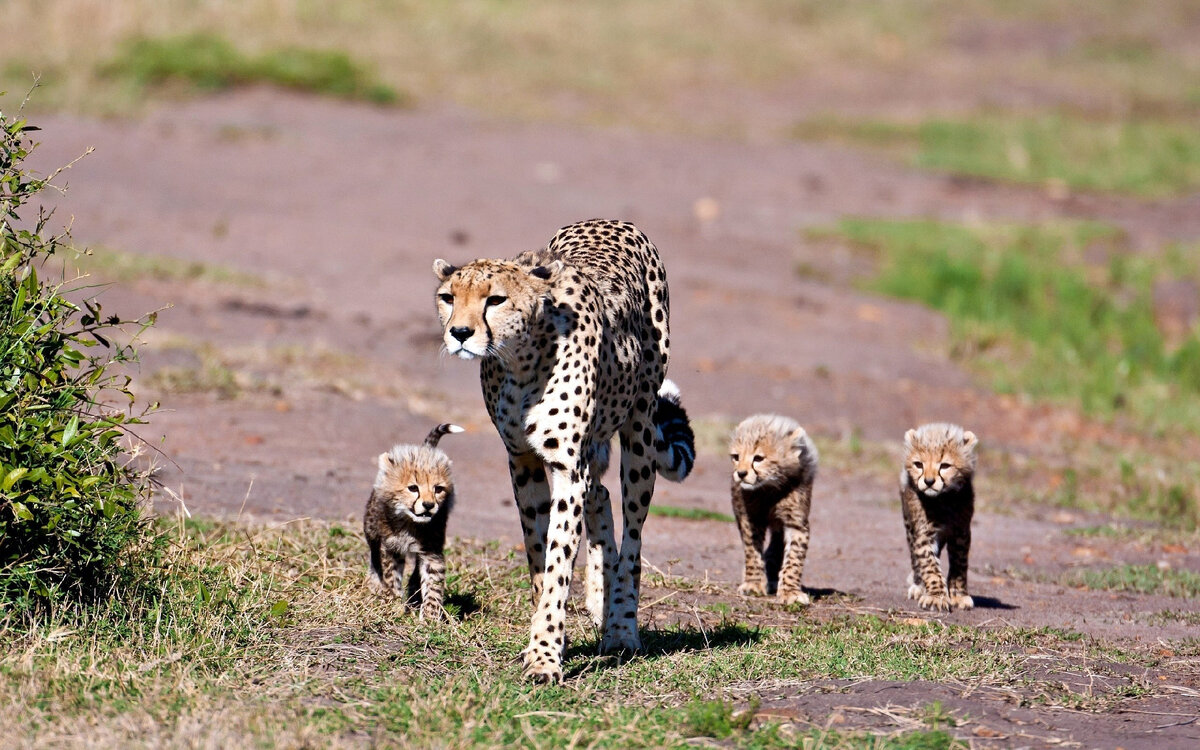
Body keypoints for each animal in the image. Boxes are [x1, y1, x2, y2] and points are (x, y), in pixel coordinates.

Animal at [432, 218, 696, 686]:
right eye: (449, 298)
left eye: (495, 299)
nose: (460, 333)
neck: (520, 361)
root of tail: (612, 220)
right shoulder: (522, 461)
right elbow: (539, 556)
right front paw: (548, 637)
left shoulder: (566, 467)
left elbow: (558, 561)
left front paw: (544, 657)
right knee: (601, 496)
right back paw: (600, 601)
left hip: (640, 430)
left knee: (632, 535)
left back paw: (621, 627)